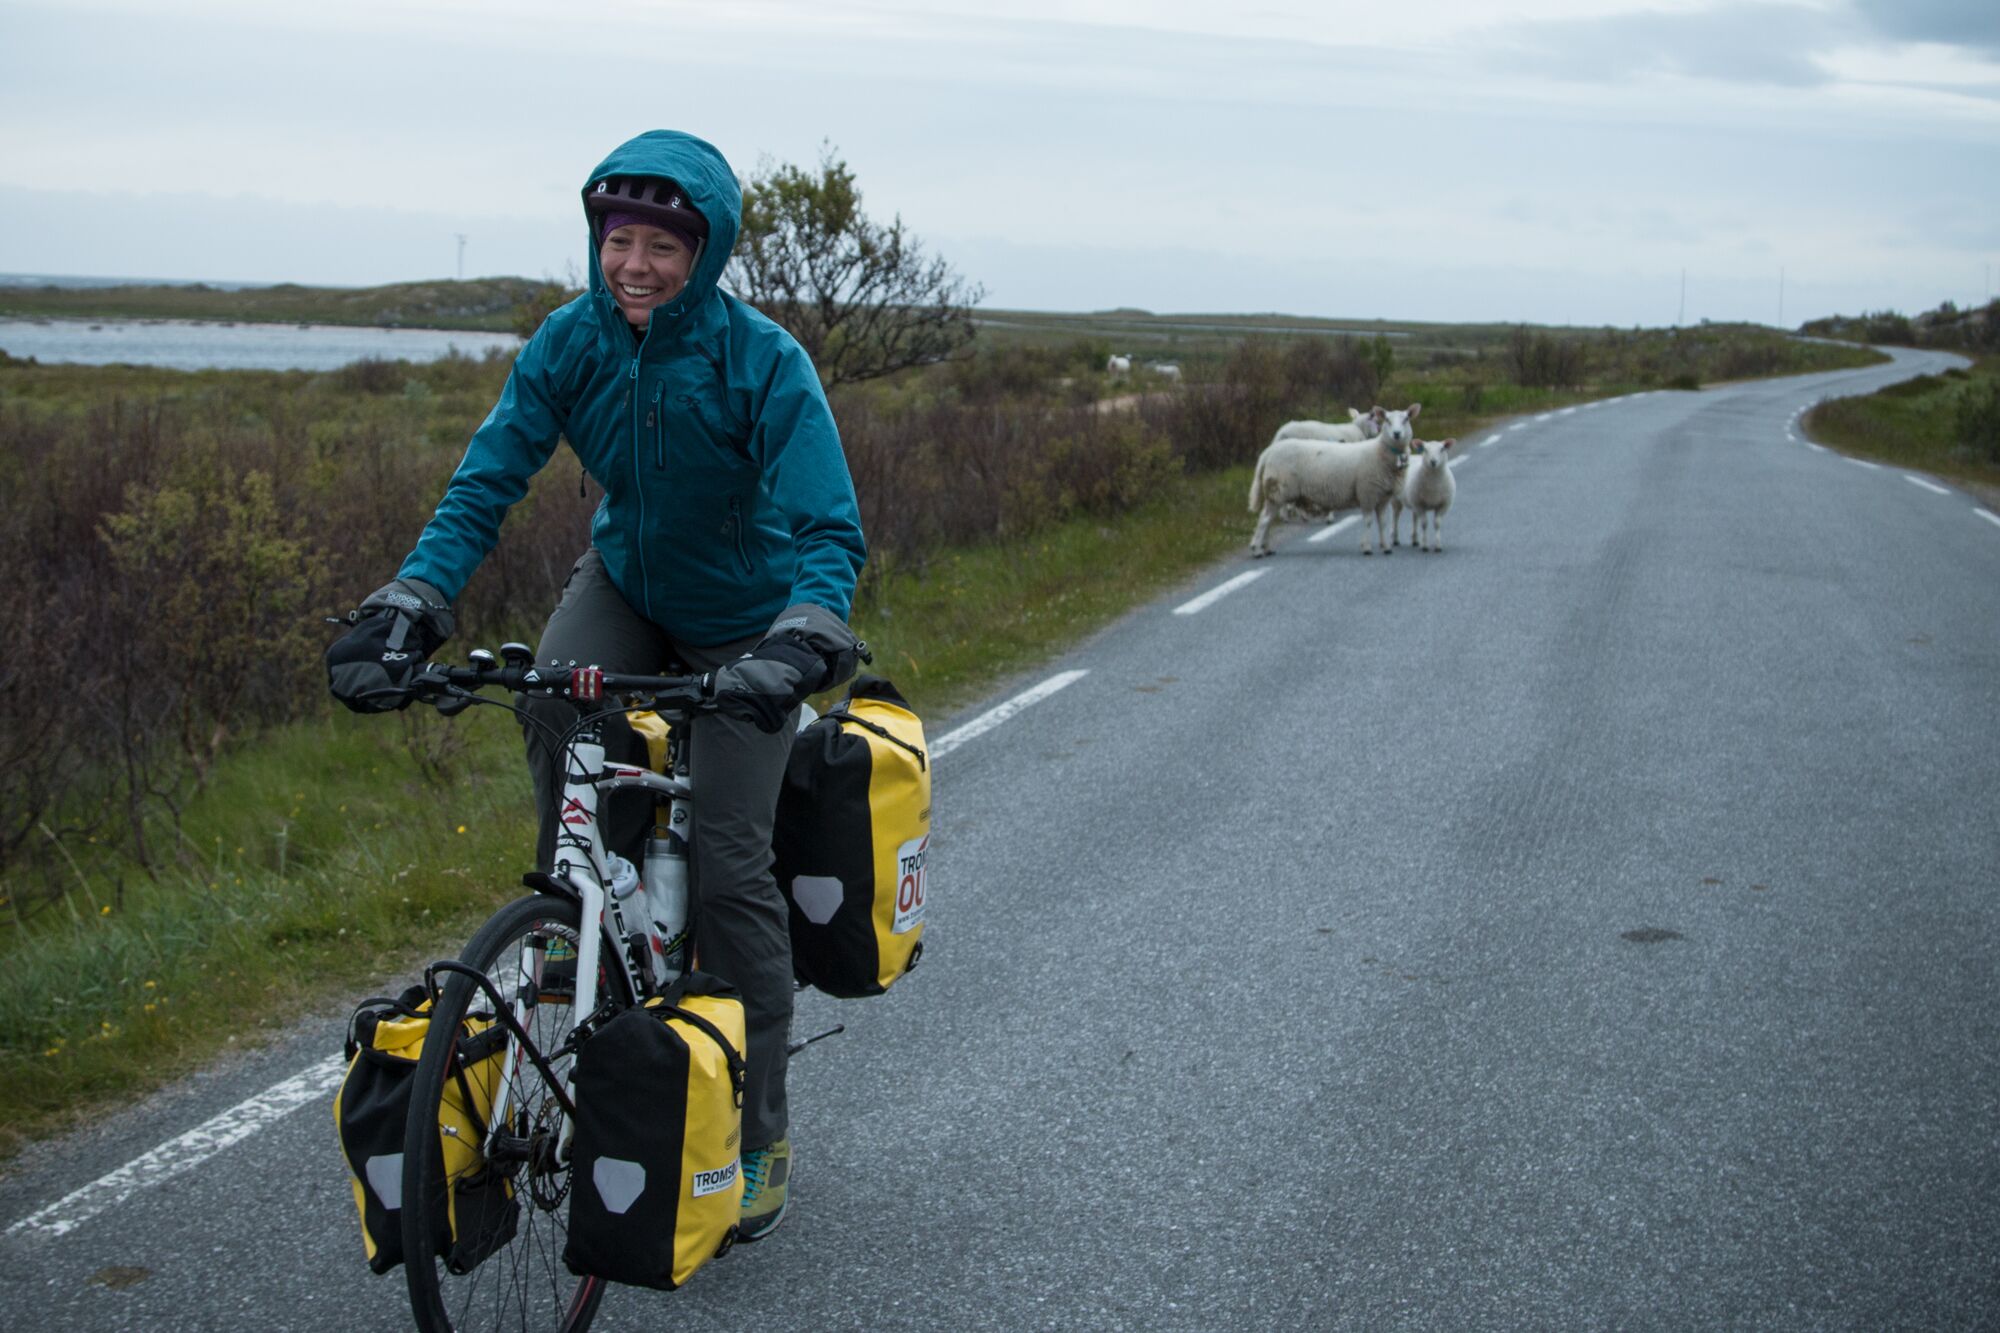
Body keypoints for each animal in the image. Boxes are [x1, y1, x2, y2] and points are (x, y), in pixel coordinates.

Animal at [1248, 402, 1424, 552]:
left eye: (1406, 419)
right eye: (1386, 420)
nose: (1396, 434)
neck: (1379, 451)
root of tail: (1269, 452)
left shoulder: (1383, 496)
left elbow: (1383, 522)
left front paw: (1385, 546)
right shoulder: (1367, 492)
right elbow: (1368, 521)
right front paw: (1367, 547)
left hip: (1277, 491)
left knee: (1267, 519)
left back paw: (1266, 546)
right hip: (1280, 489)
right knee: (1265, 520)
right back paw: (1258, 549)